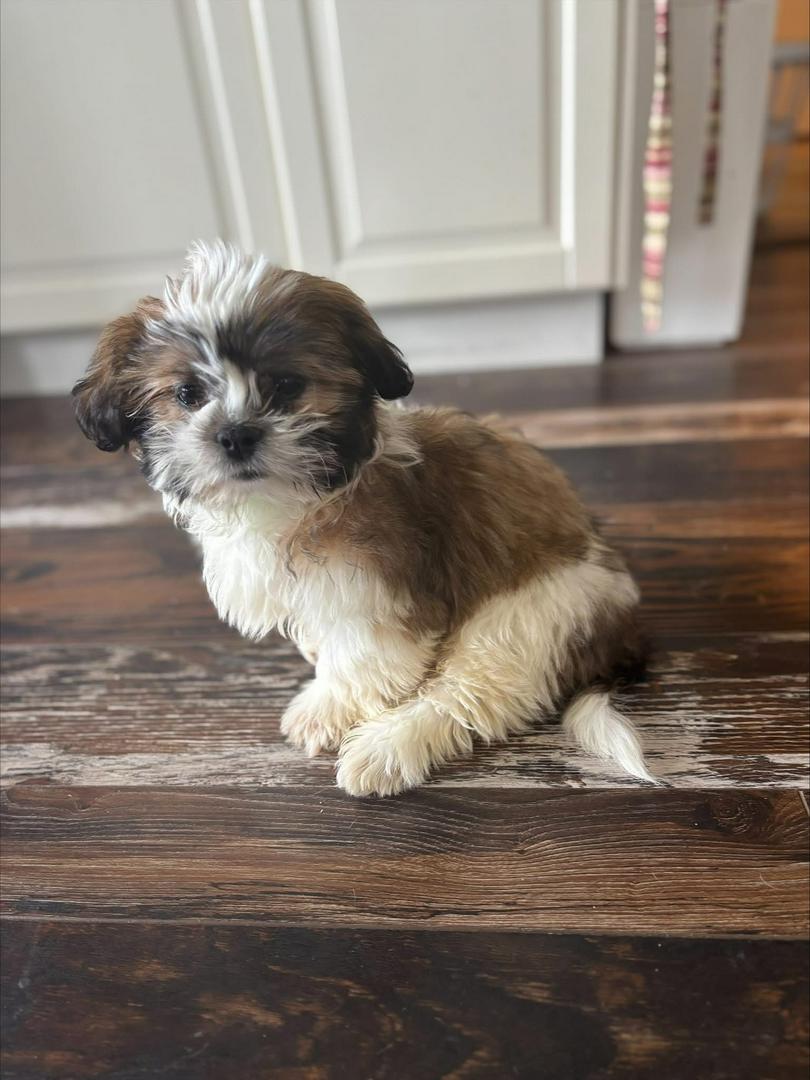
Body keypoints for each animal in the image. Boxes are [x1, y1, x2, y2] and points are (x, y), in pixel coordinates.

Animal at [73, 240, 656, 795]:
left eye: (287, 386)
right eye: (187, 394)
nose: (235, 434)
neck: (296, 500)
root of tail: (621, 624)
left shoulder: (375, 597)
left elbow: (360, 659)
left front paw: (324, 706)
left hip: (525, 617)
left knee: (473, 691)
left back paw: (386, 749)